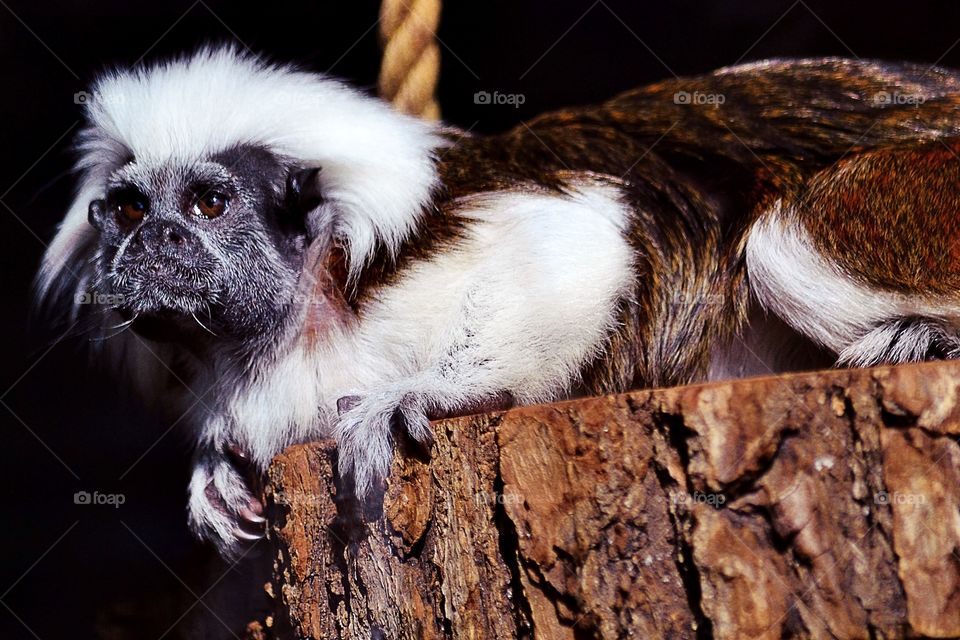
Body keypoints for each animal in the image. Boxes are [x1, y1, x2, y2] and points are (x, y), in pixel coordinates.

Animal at [37, 47, 960, 557]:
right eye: (128, 211)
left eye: (206, 205)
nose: (154, 242)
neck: (312, 309)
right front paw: (216, 475)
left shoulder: (425, 255)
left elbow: (582, 244)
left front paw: (436, 393)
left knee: (780, 239)